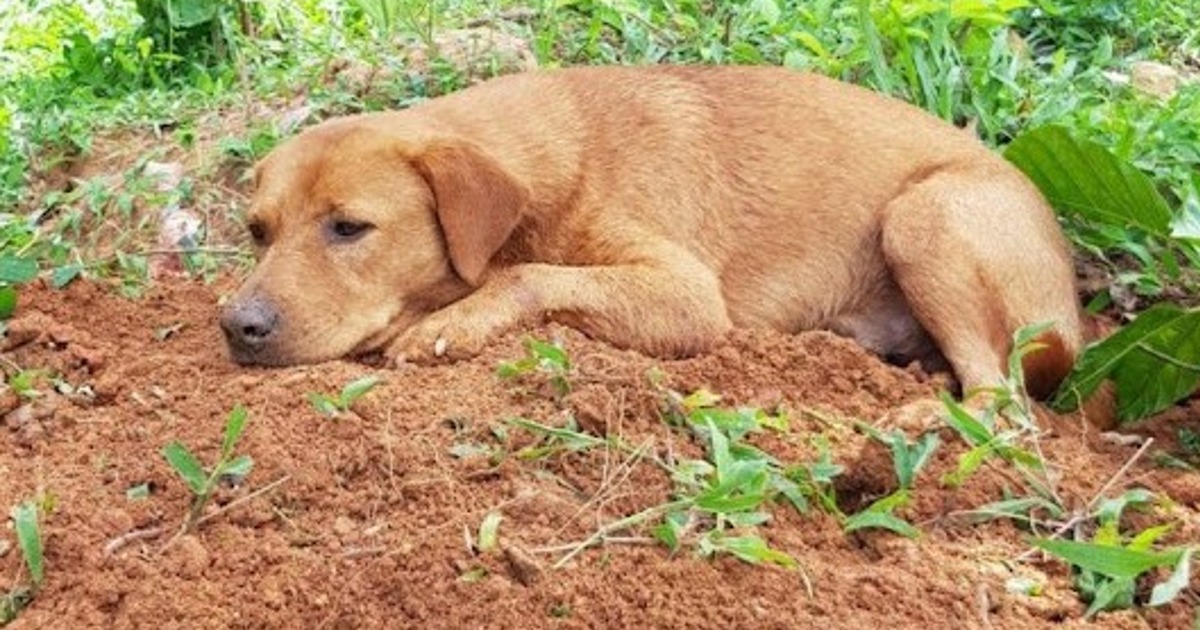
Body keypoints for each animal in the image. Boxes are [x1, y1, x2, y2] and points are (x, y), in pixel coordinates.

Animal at [220, 63, 1084, 398]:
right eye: (258, 231)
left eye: (349, 227)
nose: (237, 326)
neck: (555, 161)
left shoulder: (689, 297)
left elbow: (528, 275)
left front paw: (451, 324)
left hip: (922, 216)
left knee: (1000, 403)